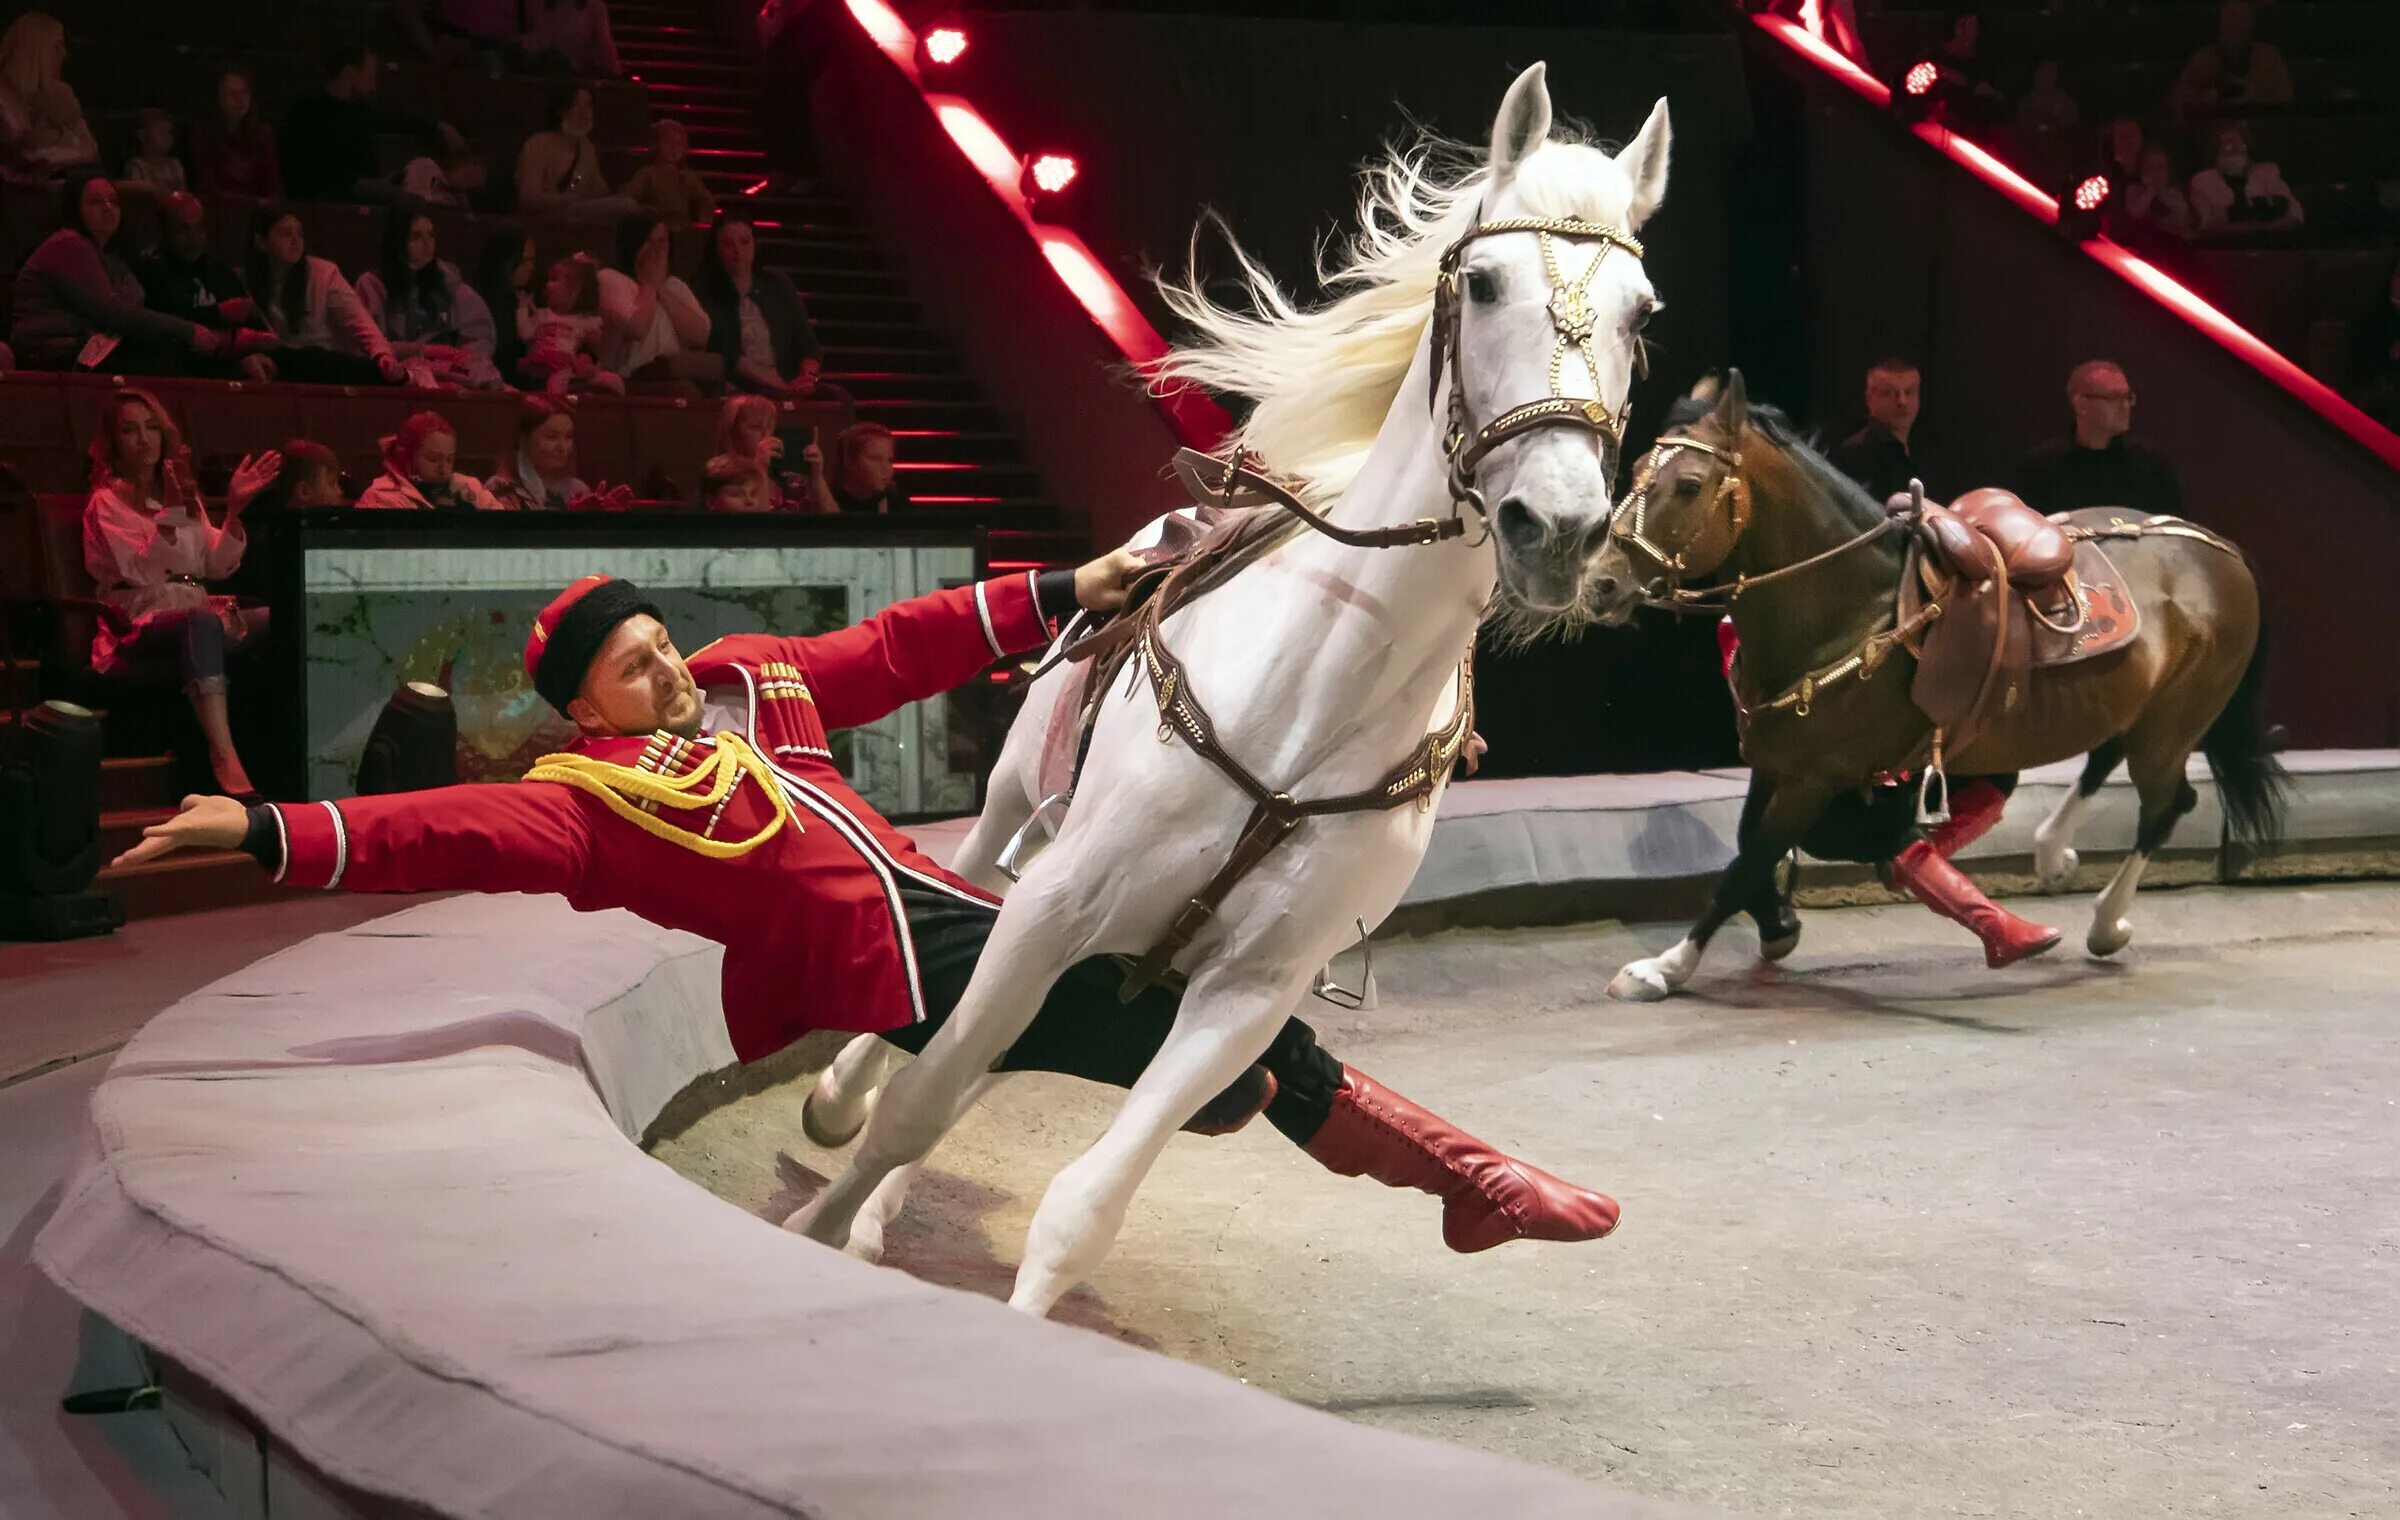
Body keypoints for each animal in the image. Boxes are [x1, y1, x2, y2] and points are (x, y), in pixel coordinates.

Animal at [787, 65, 1670, 1306]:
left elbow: (1080, 1206)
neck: (1313, 702)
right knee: (960, 921)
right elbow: (919, 1096)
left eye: (1645, 315)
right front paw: (825, 1221)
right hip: (1015, 811)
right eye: (1484, 281)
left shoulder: (1247, 992)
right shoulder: (1058, 904)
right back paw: (840, 1107)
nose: (1558, 526)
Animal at [1584, 369, 2275, 994]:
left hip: (2172, 724)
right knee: (2104, 758)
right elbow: (1751, 845)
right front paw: (1778, 924)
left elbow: (1747, 862)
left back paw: (2106, 922)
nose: (1600, 582)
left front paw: (1664, 966)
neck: (1853, 606)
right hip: (2131, 706)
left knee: (2166, 805)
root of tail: (2216, 546)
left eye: (1689, 484)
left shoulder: (1814, 776)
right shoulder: (1775, 759)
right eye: (1637, 466)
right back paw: (2051, 851)